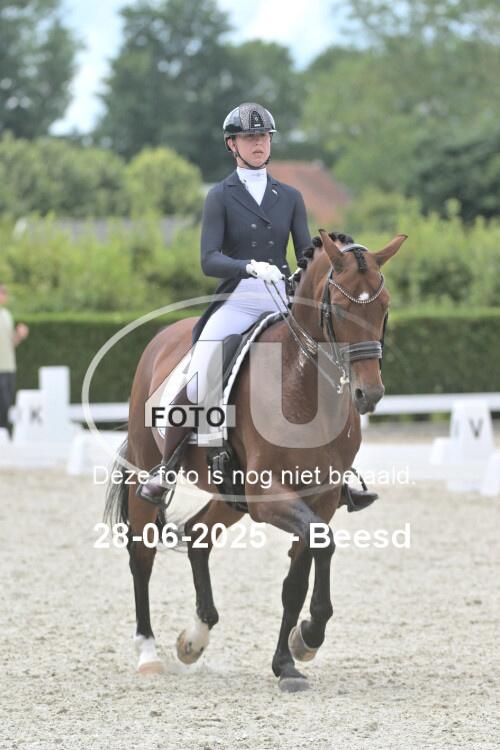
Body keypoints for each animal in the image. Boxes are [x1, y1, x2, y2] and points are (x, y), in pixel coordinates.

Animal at [105, 228, 406, 692]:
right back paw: (149, 654)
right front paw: (304, 641)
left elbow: (297, 577)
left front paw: (295, 653)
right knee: (142, 555)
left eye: (384, 306)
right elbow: (318, 549)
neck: (302, 384)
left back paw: (194, 639)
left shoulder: (317, 500)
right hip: (150, 475)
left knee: (198, 536)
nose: (367, 395)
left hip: (232, 497)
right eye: (339, 309)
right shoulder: (270, 495)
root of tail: (163, 338)